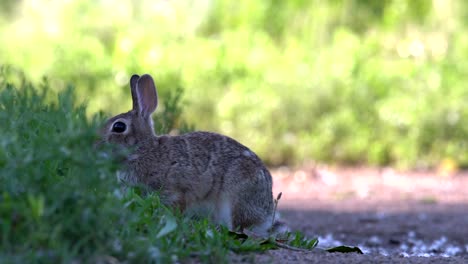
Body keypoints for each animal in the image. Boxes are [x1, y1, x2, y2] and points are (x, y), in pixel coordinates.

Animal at [100, 73, 288, 236]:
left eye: (119, 127)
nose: (96, 145)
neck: (142, 150)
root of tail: (267, 212)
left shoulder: (175, 190)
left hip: (236, 197)